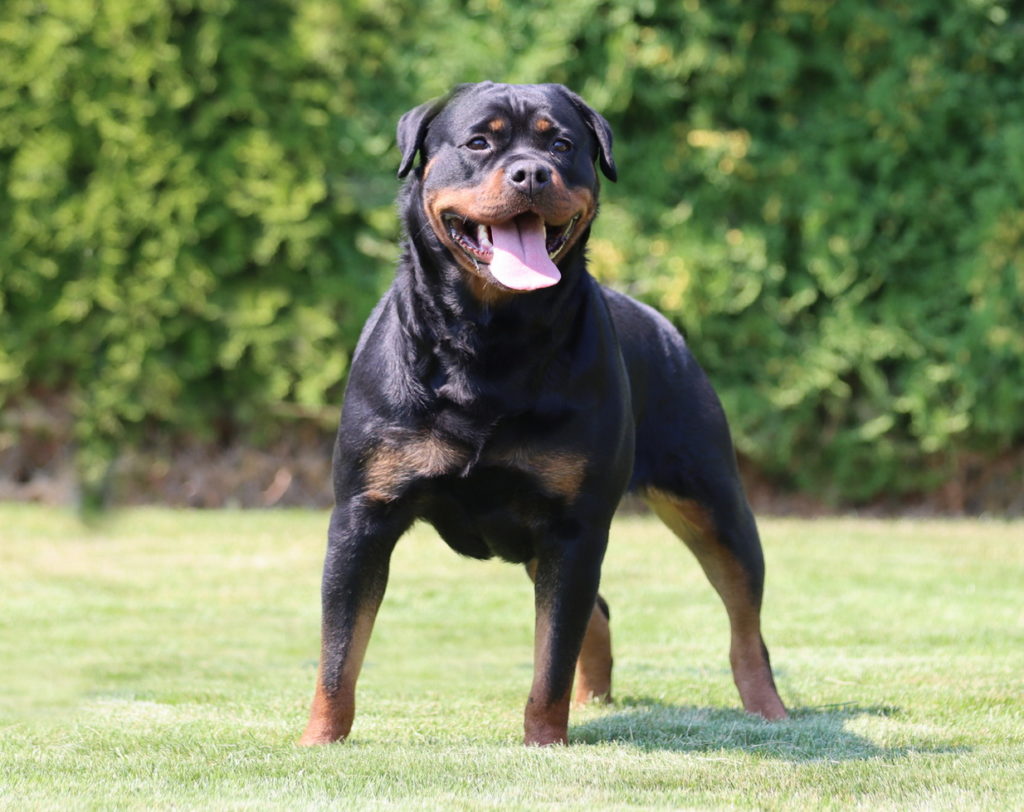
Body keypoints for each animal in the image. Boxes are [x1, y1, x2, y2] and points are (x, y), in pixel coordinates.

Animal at [299, 82, 786, 749]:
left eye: (562, 145)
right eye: (480, 142)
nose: (531, 171)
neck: (490, 342)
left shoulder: (573, 526)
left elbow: (551, 654)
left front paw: (546, 742)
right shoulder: (363, 514)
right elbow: (339, 649)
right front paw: (320, 740)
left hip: (713, 505)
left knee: (744, 623)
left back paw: (769, 710)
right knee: (598, 611)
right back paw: (596, 696)